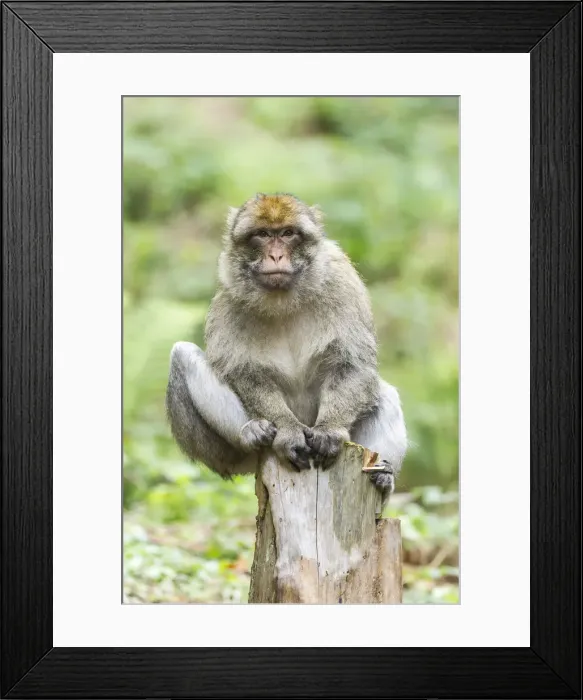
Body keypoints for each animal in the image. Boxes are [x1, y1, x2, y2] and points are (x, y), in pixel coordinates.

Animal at [166, 193, 407, 496]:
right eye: (262, 234)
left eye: (288, 233)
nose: (276, 256)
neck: (284, 299)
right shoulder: (230, 298)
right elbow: (245, 372)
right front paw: (287, 431)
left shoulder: (342, 284)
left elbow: (352, 365)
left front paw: (330, 429)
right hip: (221, 455)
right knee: (181, 354)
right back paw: (251, 433)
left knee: (384, 393)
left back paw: (384, 479)